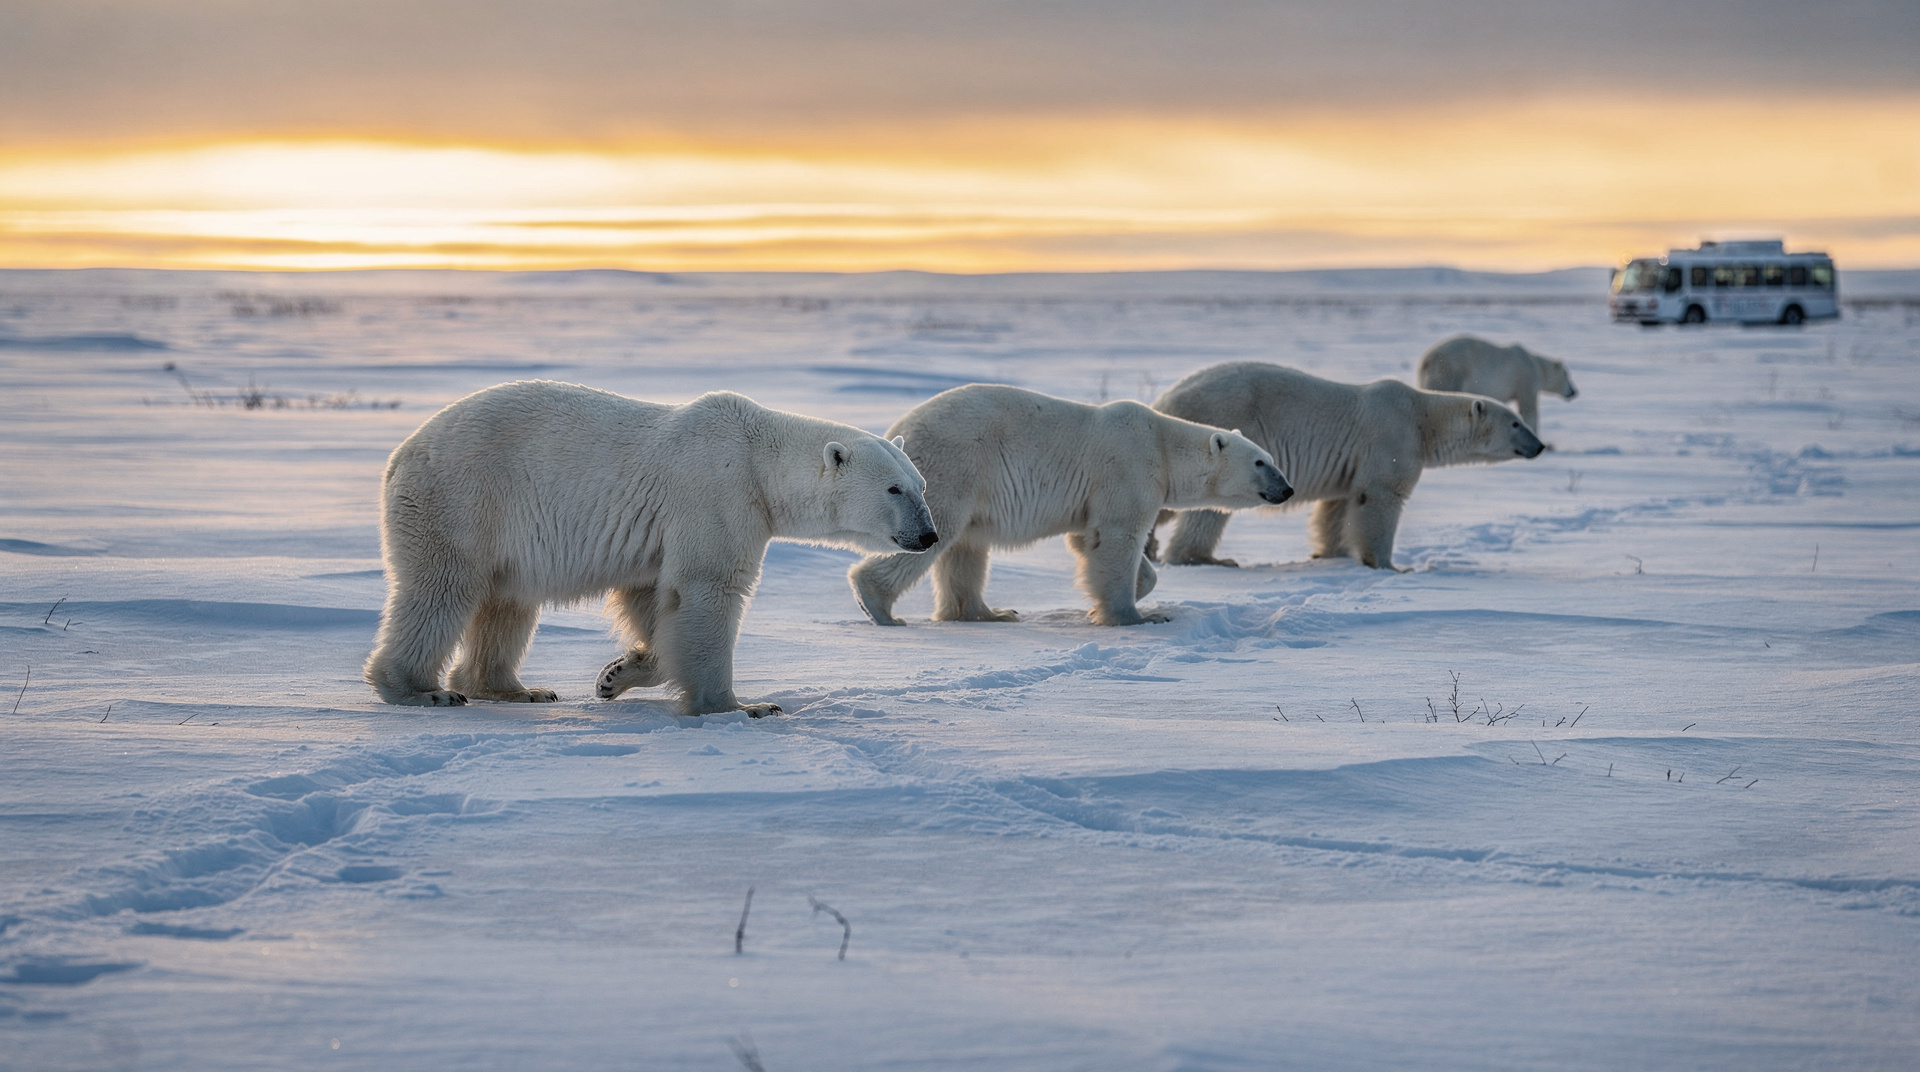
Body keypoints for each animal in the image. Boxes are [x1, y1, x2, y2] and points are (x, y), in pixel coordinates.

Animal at [363, 380, 937, 716]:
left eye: (922, 485)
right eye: (894, 489)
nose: (929, 535)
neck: (758, 457)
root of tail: (402, 454)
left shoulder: (665, 534)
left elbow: (652, 595)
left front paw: (617, 674)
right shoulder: (716, 493)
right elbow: (706, 591)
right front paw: (741, 707)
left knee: (507, 603)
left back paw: (516, 688)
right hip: (464, 498)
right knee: (442, 589)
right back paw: (423, 690)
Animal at [847, 384, 1291, 627]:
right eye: (1261, 462)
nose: (1286, 489)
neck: (1164, 445)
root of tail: (896, 431)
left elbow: (1089, 541)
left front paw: (1114, 600)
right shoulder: (1127, 469)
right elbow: (1118, 539)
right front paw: (1136, 616)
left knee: (967, 549)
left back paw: (989, 613)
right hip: (952, 465)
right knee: (937, 533)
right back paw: (878, 606)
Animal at [1151, 363, 1543, 572]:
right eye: (1515, 423)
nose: (1539, 445)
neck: (1422, 418)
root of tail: (1164, 399)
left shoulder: (1349, 464)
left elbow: (1337, 507)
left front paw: (1330, 553)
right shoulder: (1390, 438)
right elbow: (1381, 498)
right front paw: (1391, 565)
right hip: (1221, 430)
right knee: (1207, 509)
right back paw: (1206, 558)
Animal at [1416, 335, 1576, 433]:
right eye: (1567, 375)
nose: (1574, 391)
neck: (1536, 364)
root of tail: (1426, 361)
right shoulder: (1526, 379)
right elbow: (1528, 409)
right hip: (1449, 373)